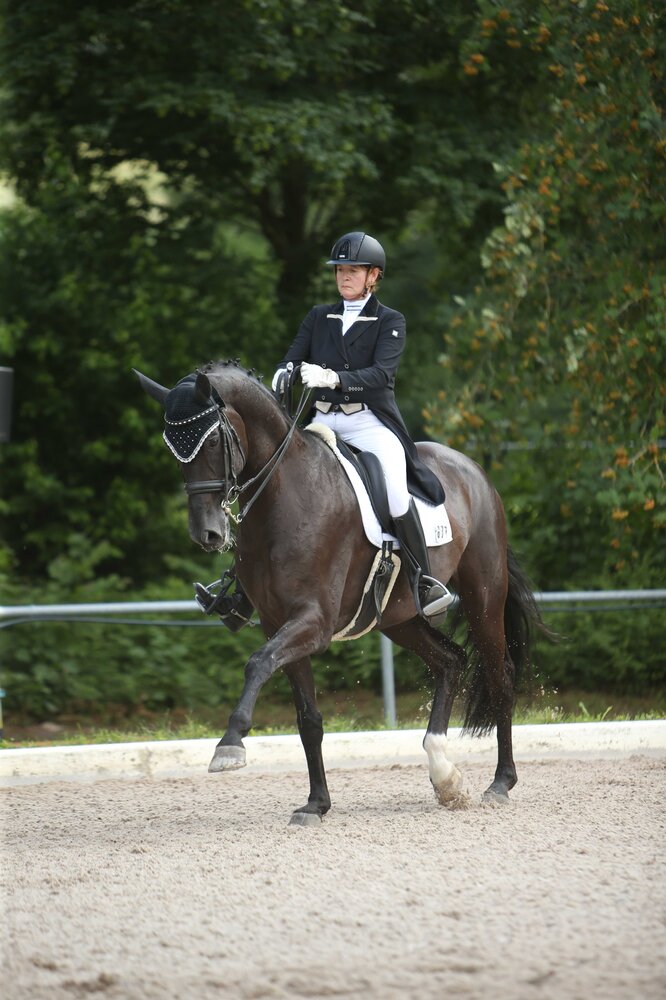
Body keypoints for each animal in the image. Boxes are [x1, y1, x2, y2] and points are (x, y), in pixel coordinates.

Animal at [136, 359, 547, 823]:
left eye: (211, 440)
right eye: (174, 449)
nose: (207, 534)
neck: (283, 496)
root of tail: (472, 469)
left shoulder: (313, 623)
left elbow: (256, 664)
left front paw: (230, 745)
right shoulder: (278, 624)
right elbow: (308, 718)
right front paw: (317, 803)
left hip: (483, 598)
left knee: (500, 676)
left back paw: (500, 782)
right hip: (398, 618)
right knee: (451, 662)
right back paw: (444, 774)